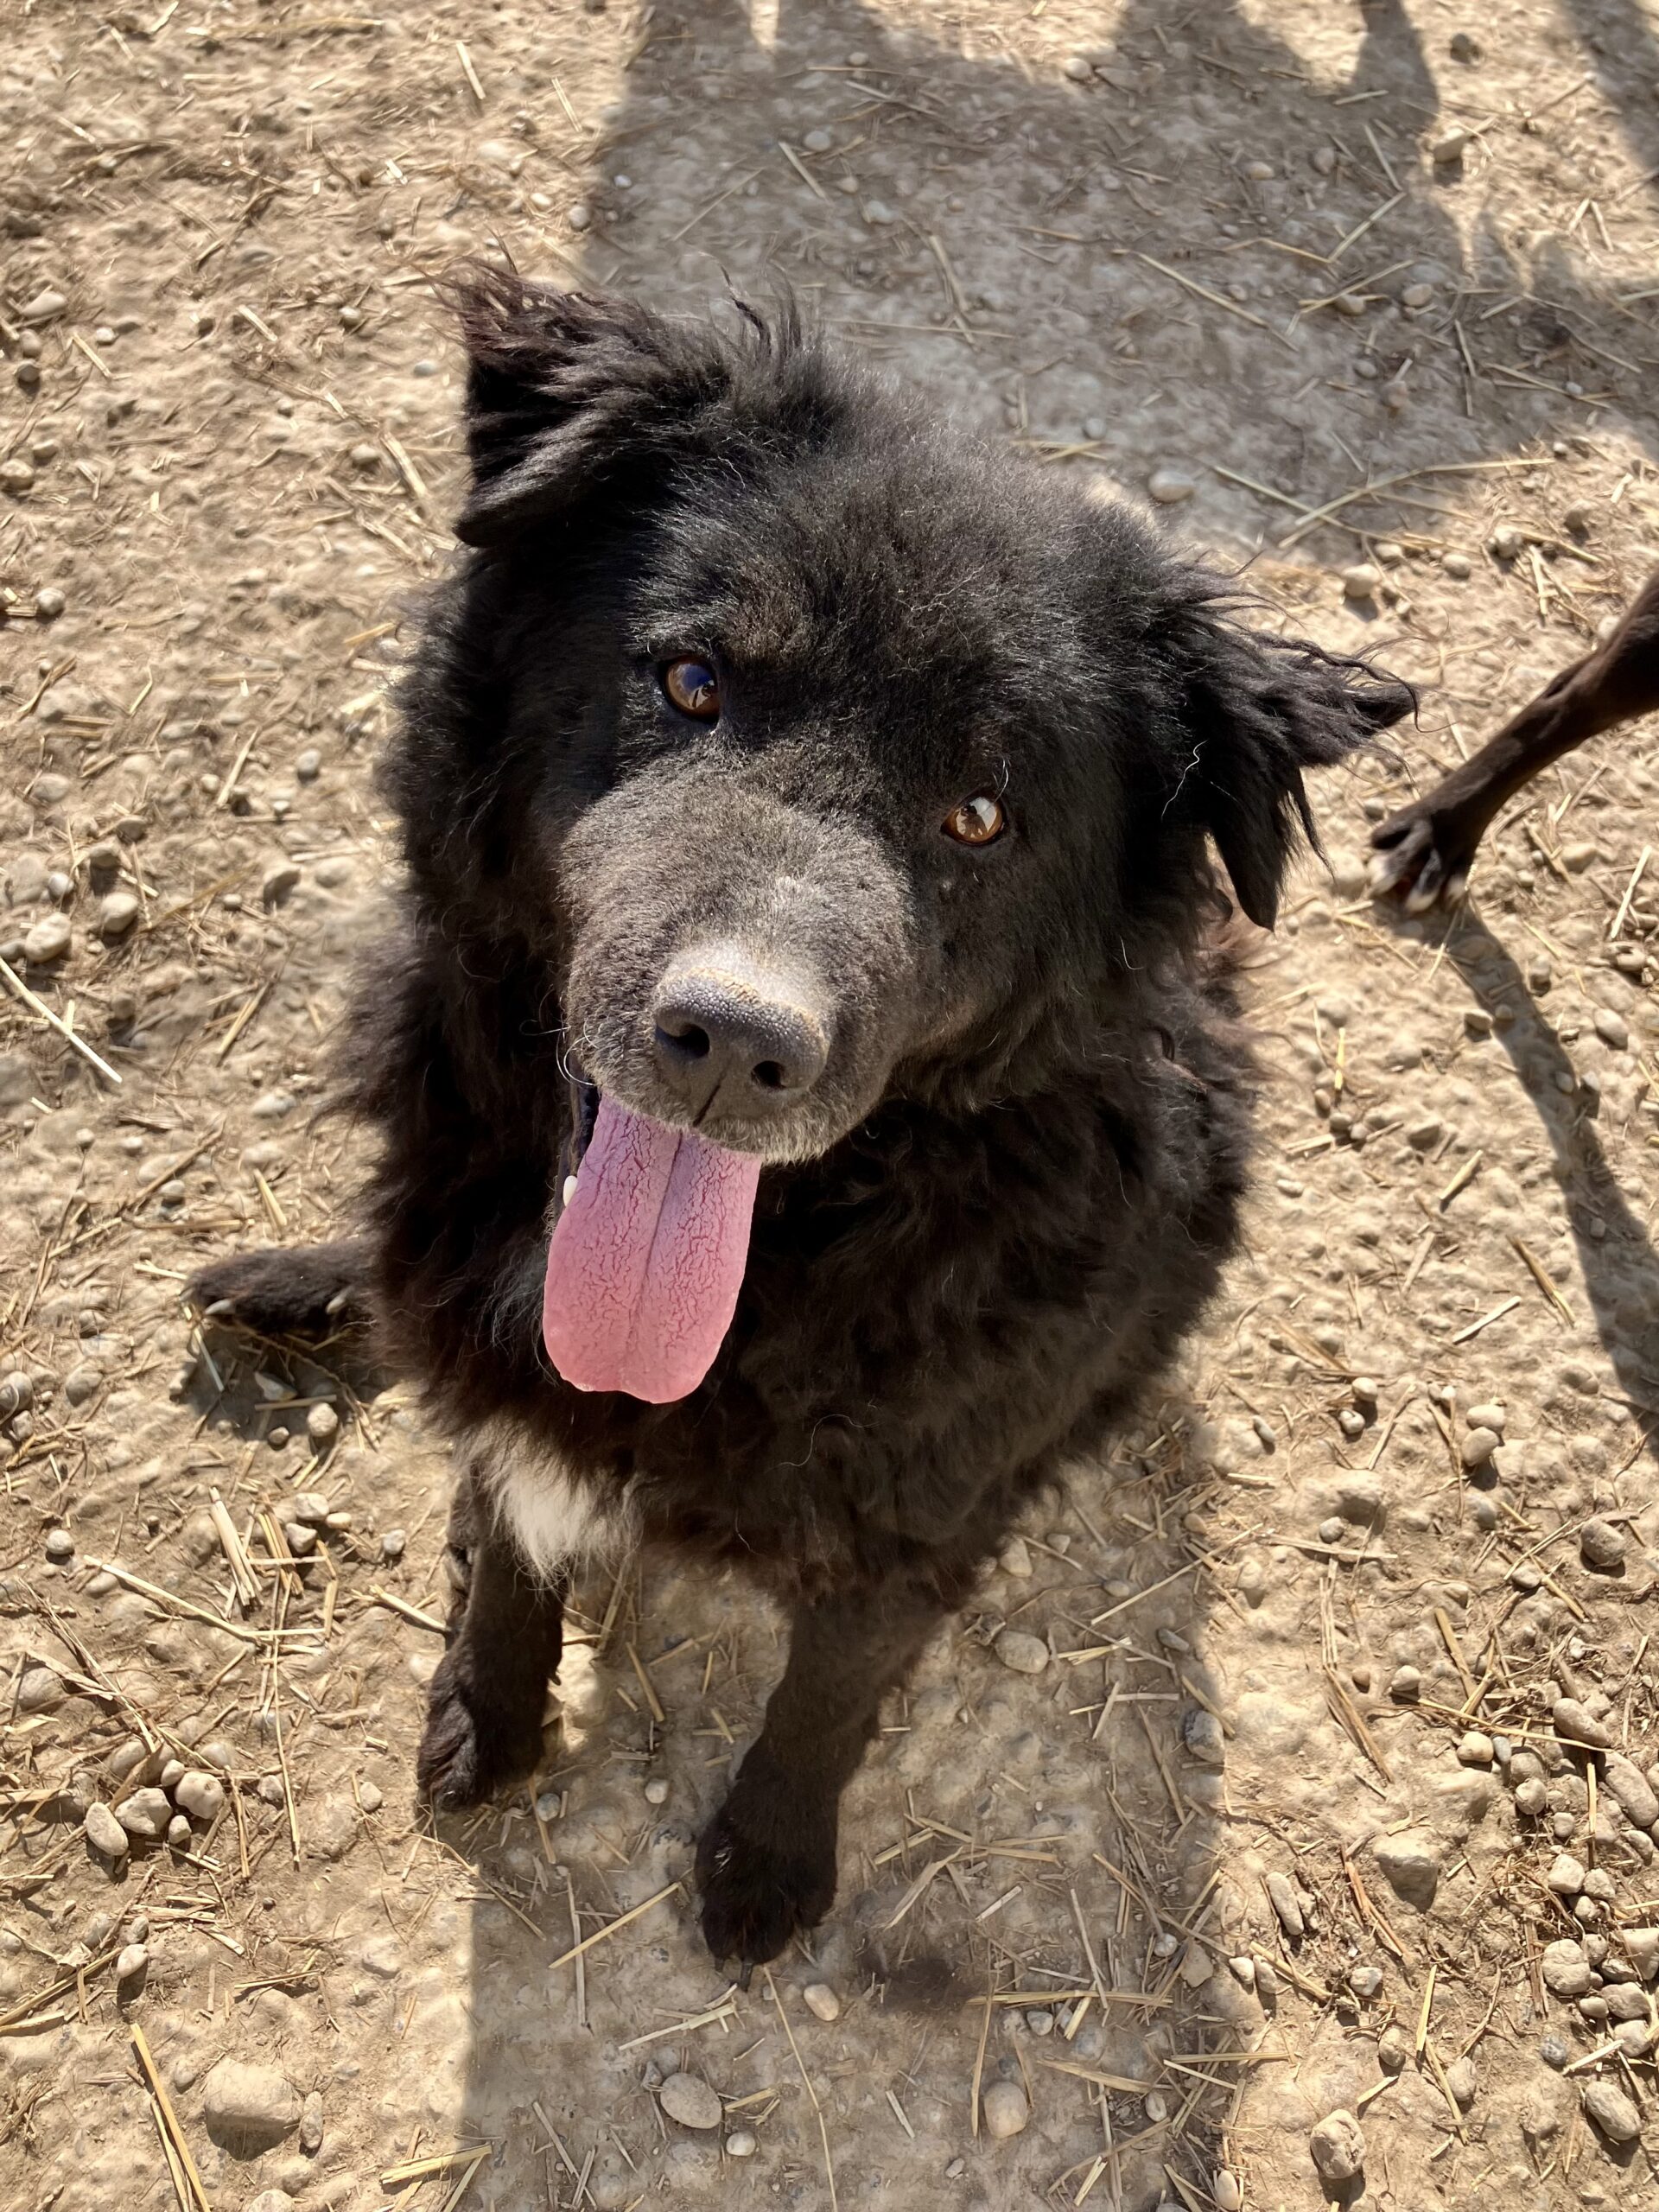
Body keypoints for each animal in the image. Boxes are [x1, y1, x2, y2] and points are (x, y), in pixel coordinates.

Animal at [190, 271, 1410, 1968]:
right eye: (692, 682)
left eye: (982, 816)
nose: (731, 1047)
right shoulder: (503, 1381)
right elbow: (506, 1545)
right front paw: (487, 1710)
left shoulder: (916, 1510)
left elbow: (828, 1694)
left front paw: (767, 1856)